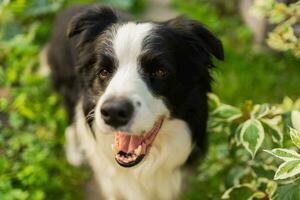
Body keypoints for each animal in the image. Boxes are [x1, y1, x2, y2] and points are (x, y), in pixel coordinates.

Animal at [46, 4, 223, 200]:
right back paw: (75, 155)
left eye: (160, 71)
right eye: (104, 71)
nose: (113, 112)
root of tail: (70, 8)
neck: (142, 168)